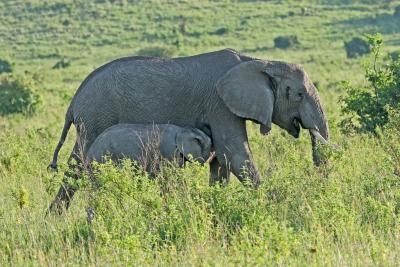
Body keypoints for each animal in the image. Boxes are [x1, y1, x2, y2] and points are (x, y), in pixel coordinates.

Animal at [47, 48, 328, 214]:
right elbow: (235, 154)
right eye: (299, 95)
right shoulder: (219, 103)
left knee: (75, 164)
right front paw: (270, 207)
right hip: (97, 117)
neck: (260, 62)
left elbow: (221, 161)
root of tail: (74, 101)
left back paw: (54, 218)